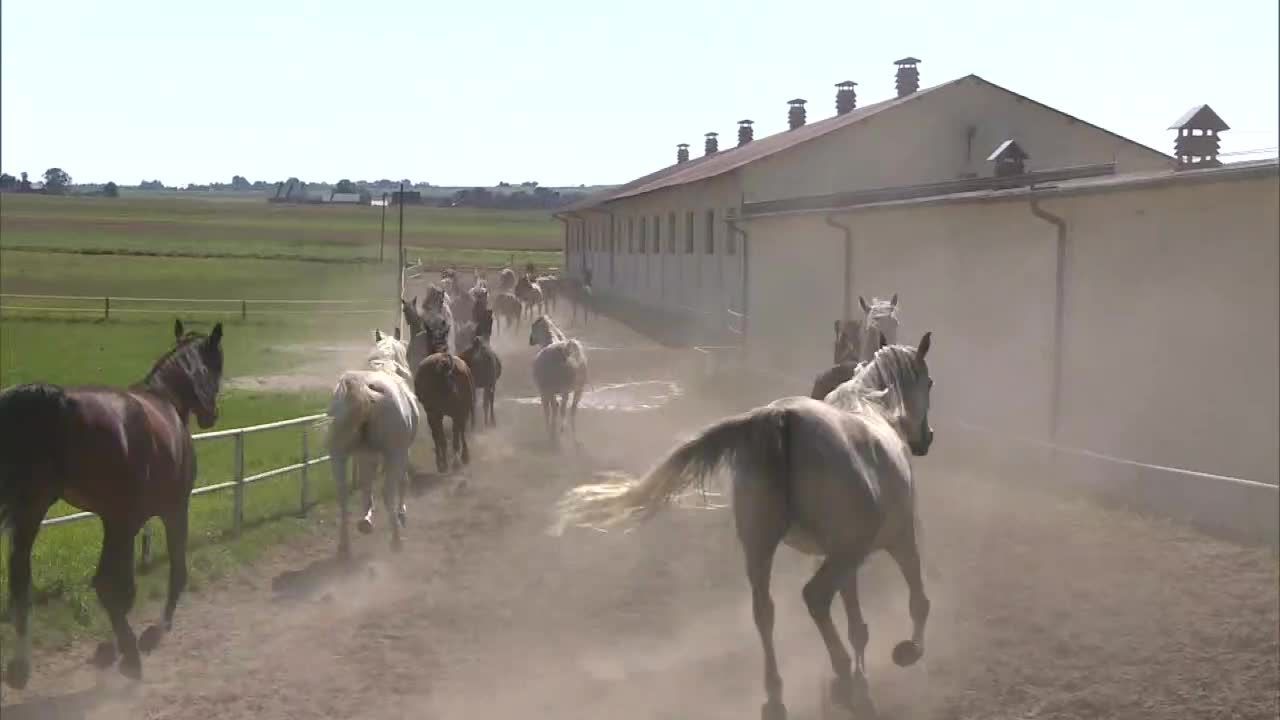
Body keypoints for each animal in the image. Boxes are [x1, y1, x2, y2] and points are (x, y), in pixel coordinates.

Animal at [1, 317, 226, 681]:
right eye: (216, 365)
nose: (212, 414)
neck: (164, 401)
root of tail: (55, 401)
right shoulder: (171, 510)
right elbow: (171, 572)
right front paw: (154, 631)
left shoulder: (121, 521)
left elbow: (126, 588)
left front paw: (114, 643)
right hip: (111, 518)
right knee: (102, 582)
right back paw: (132, 659)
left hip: (34, 511)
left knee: (21, 581)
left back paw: (21, 668)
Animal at [325, 325, 419, 556]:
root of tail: (364, 387)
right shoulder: (401, 452)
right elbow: (402, 480)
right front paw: (401, 514)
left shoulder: (366, 454)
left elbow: (366, 485)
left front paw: (366, 519)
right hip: (394, 454)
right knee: (387, 492)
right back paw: (396, 540)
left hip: (338, 456)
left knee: (342, 494)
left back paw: (344, 546)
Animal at [409, 312, 476, 471]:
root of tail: (445, 363)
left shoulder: (432, 413)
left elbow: (437, 436)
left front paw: (440, 461)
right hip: (461, 409)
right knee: (459, 432)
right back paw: (461, 457)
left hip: (439, 412)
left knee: (446, 436)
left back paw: (446, 463)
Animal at [527, 312, 586, 445]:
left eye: (533, 326)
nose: (530, 340)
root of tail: (566, 351)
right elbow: (555, 408)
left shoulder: (545, 391)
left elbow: (549, 410)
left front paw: (550, 431)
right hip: (578, 389)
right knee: (572, 410)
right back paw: (571, 434)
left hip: (560, 388)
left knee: (561, 409)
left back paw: (560, 431)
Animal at [555, 330, 936, 717]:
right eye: (929, 382)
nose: (926, 439)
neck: (869, 406)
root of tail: (780, 418)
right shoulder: (897, 539)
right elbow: (917, 601)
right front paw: (909, 651)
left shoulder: (843, 557)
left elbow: (858, 623)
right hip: (839, 553)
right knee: (815, 597)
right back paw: (842, 674)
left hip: (763, 547)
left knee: (764, 611)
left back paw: (780, 692)